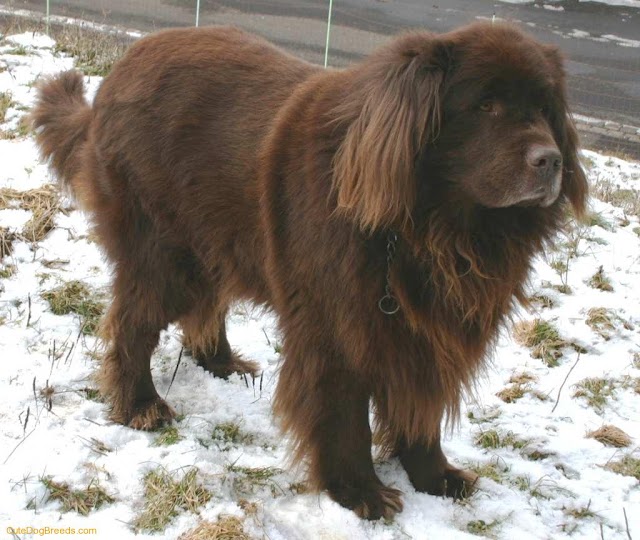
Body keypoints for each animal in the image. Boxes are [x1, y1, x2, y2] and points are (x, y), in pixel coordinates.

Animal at [32, 23, 588, 520]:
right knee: (133, 324)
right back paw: (141, 405)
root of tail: (120, 69)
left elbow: (420, 409)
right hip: (163, 251)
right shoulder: (337, 326)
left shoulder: (423, 333)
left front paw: (435, 477)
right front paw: (360, 493)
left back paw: (221, 363)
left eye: (545, 109)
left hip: (214, 237)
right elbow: (345, 416)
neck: (430, 229)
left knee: (205, 305)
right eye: (485, 106)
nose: (551, 161)